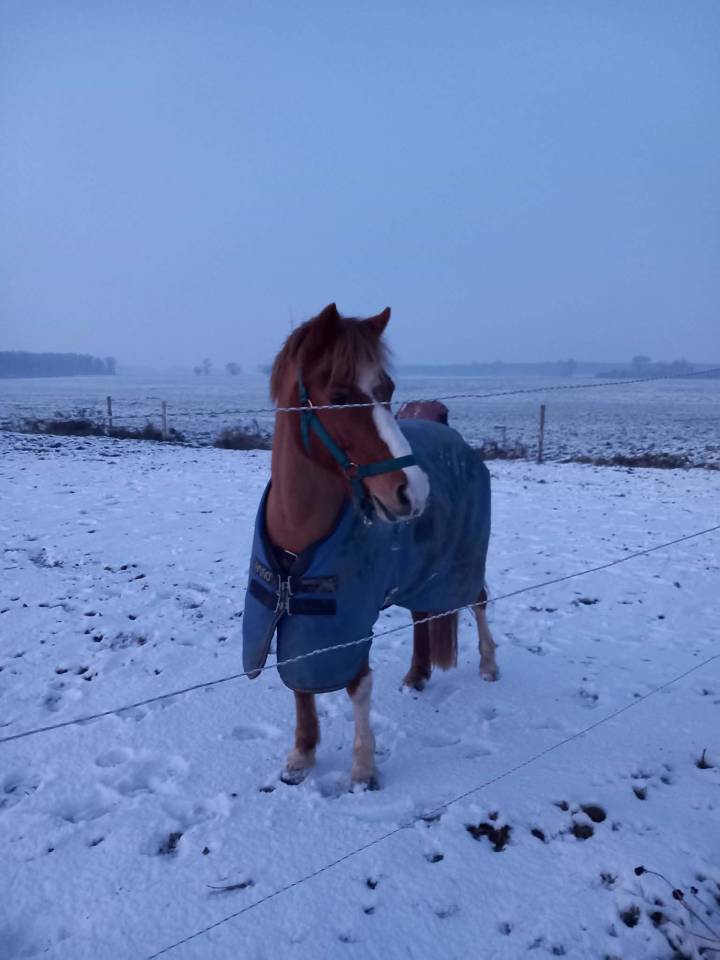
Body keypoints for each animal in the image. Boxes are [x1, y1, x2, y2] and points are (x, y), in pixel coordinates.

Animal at [242, 303, 497, 789]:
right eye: (340, 396)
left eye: (387, 389)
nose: (414, 490)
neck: (299, 528)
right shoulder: (303, 615)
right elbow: (300, 679)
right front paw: (302, 754)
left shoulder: (351, 615)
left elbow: (358, 685)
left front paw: (363, 768)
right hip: (425, 570)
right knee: (423, 615)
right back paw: (417, 675)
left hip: (465, 559)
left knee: (477, 600)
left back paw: (489, 665)